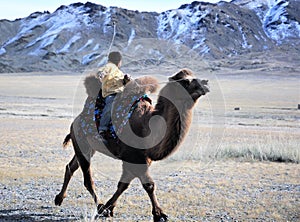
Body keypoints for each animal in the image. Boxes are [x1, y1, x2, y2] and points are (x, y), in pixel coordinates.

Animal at [54, 68, 209, 221]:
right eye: (186, 81)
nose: (205, 83)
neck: (148, 127)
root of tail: (76, 121)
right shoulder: (134, 157)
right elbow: (149, 185)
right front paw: (159, 214)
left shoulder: (140, 159)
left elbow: (123, 185)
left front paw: (109, 209)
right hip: (82, 142)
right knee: (87, 179)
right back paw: (98, 205)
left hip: (87, 146)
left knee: (71, 167)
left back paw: (59, 198)